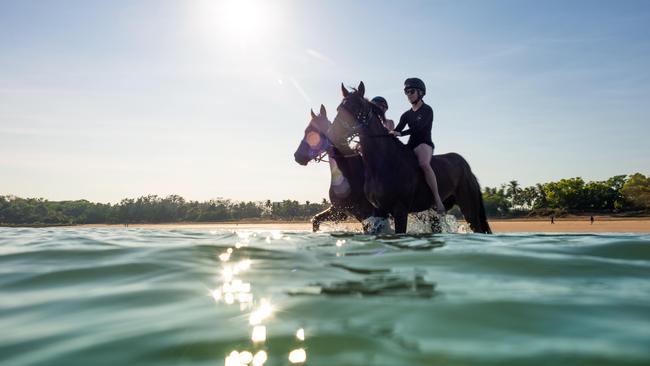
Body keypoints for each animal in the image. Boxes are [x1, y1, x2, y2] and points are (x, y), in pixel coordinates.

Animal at [292, 104, 372, 233]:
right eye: (306, 130)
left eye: (314, 131)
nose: (297, 156)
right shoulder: (339, 210)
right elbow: (316, 220)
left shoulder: (367, 213)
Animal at [330, 81, 492, 233]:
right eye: (338, 108)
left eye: (356, 107)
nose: (333, 134)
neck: (383, 163)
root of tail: (466, 166)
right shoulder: (379, 212)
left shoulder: (400, 211)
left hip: (469, 208)